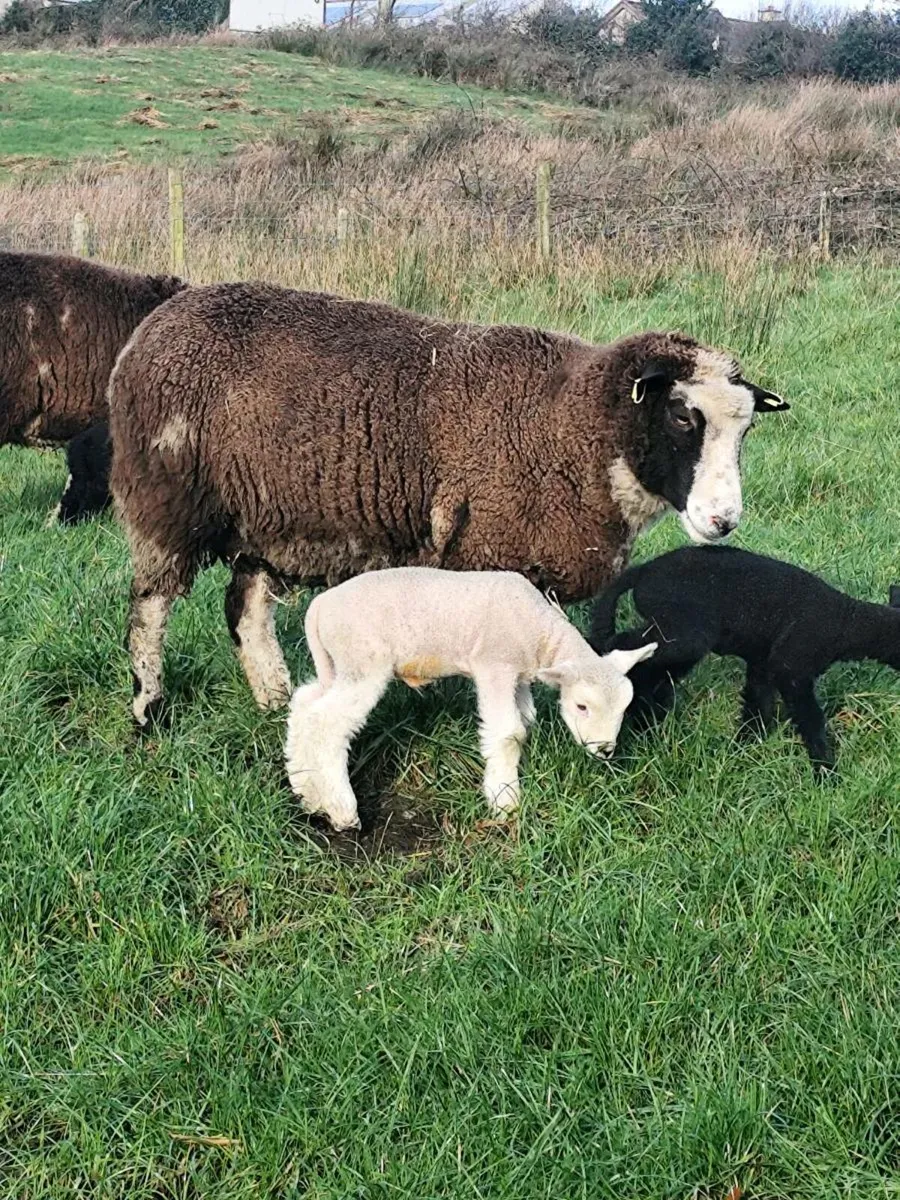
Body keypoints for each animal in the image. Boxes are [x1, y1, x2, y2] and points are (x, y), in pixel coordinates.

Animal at [107, 282, 788, 727]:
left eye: (748, 427)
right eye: (681, 417)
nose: (723, 521)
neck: (570, 424)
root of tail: (149, 329)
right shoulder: (496, 555)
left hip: (266, 516)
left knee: (245, 608)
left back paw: (273, 699)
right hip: (166, 501)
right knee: (149, 607)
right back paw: (147, 706)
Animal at [284, 567, 658, 831]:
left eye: (625, 707)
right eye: (582, 706)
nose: (605, 750)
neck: (540, 634)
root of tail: (318, 607)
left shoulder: (517, 676)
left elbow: (526, 720)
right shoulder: (495, 665)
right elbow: (509, 733)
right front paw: (505, 800)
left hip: (336, 664)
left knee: (305, 706)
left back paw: (308, 793)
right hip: (363, 661)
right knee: (326, 722)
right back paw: (342, 809)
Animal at [588, 545, 900, 773]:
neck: (846, 622)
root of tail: (645, 570)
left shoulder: (764, 663)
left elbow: (757, 705)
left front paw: (744, 748)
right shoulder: (791, 667)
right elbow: (810, 718)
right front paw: (825, 770)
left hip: (673, 633)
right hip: (684, 633)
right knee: (624, 647)